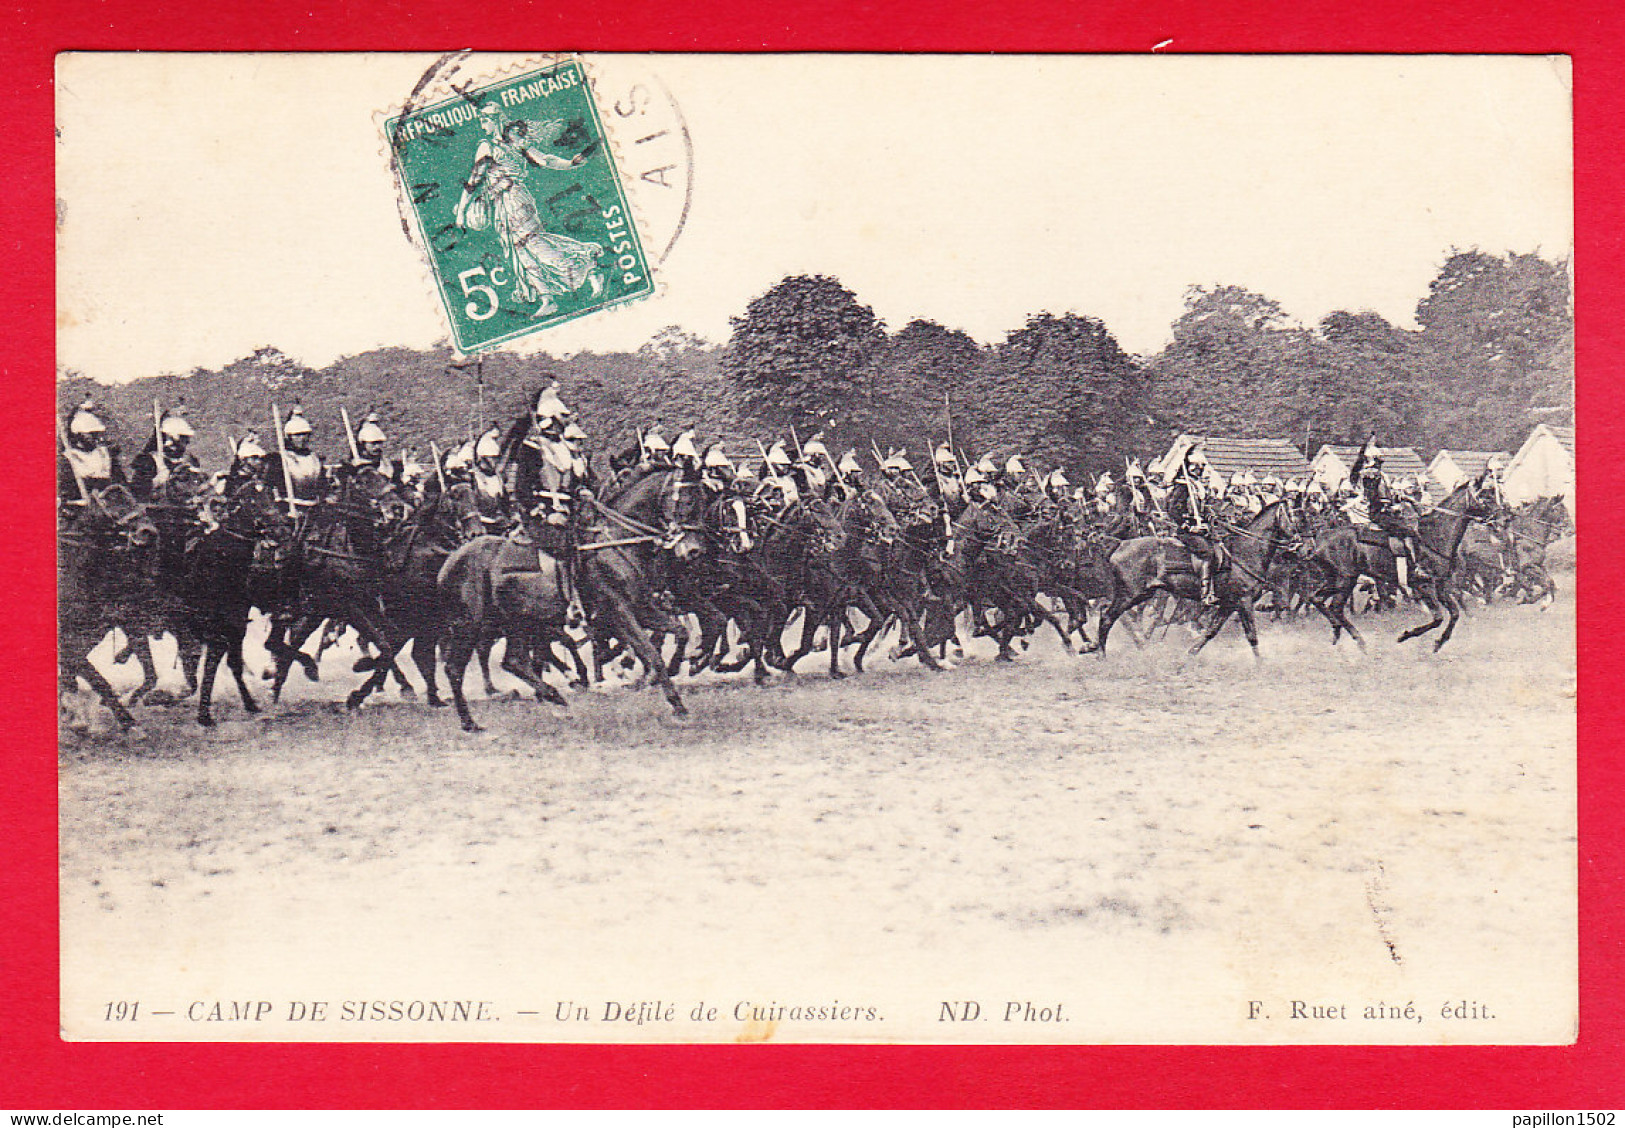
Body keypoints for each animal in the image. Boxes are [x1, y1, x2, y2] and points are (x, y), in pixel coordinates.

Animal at [1085, 500, 1300, 663]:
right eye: (1291, 516)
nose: (1298, 543)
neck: (1245, 553)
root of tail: (1120, 544)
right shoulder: (1243, 601)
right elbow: (1252, 635)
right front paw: (1260, 664)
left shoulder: (1229, 604)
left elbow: (1211, 632)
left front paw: (1188, 655)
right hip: (1131, 594)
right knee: (1108, 617)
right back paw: (1101, 654)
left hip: (1139, 593)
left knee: (1109, 613)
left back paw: (1097, 647)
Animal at [1300, 471, 1501, 653]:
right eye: (1486, 494)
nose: (1502, 518)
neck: (1433, 536)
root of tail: (1320, 539)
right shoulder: (1423, 585)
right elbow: (1438, 618)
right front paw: (1406, 635)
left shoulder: (1441, 586)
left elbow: (1454, 614)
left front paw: (1439, 643)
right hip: (1345, 580)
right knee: (1334, 607)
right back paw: (1360, 641)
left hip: (1335, 579)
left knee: (1317, 599)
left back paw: (1337, 632)